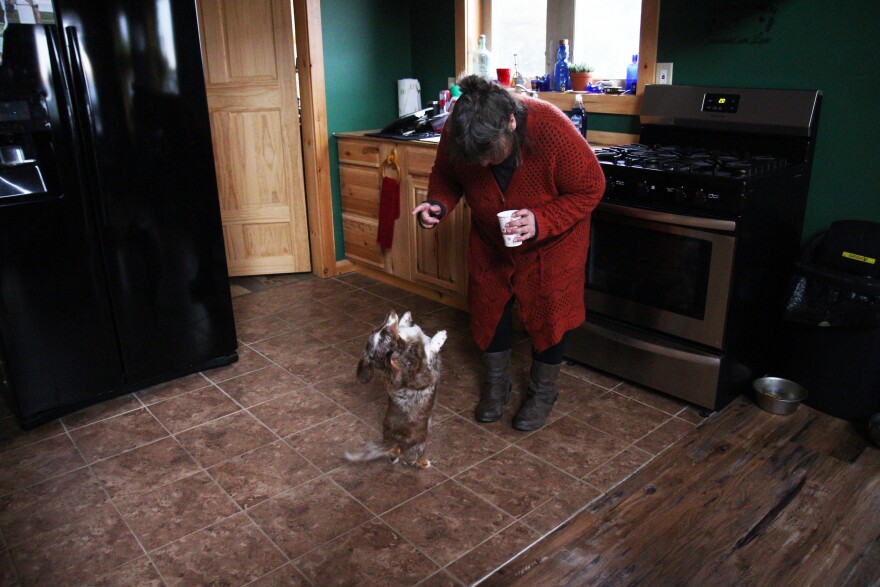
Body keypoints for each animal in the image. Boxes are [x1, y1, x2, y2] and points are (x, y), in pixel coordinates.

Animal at [346, 310, 446, 470]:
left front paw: (406, 318)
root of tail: (393, 444)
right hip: (420, 445)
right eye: (387, 333)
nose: (391, 312)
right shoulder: (426, 366)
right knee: (410, 461)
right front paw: (440, 336)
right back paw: (424, 463)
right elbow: (429, 347)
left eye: (378, 329)